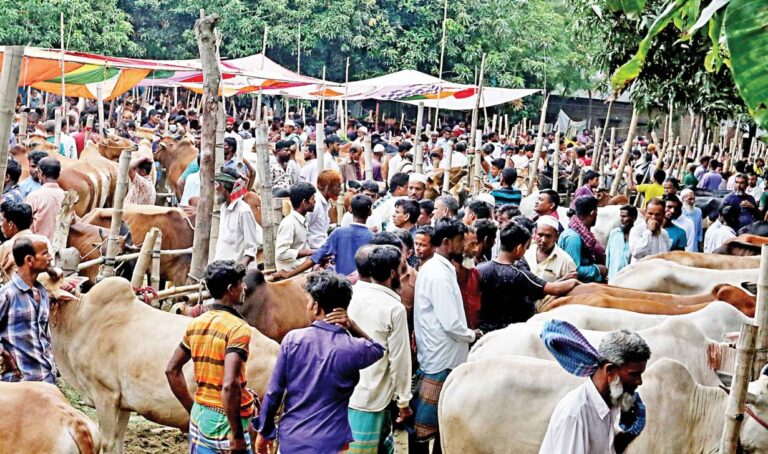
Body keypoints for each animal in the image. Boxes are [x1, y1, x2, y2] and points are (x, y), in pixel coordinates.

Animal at [45, 274, 280, 454]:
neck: (79, 320)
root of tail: (277, 350)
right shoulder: (123, 403)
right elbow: (118, 442)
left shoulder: (106, 396)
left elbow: (108, 443)